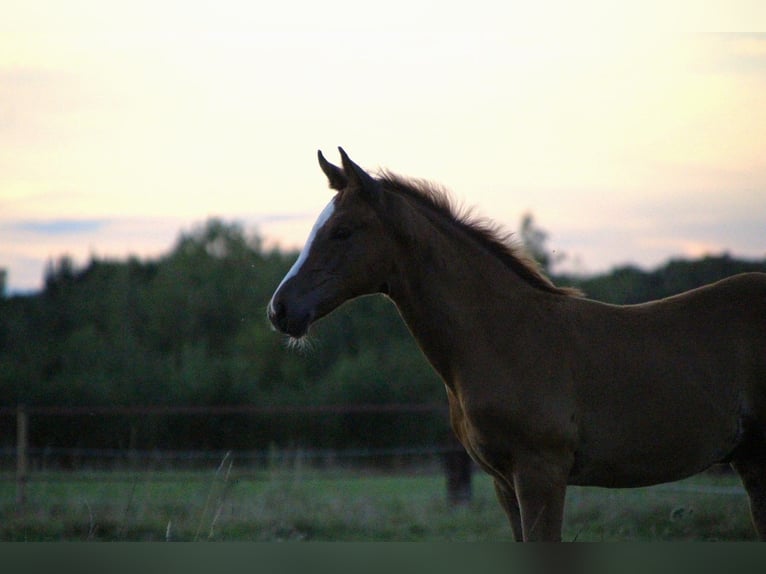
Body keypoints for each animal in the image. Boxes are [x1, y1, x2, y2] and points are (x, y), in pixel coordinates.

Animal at [268, 148, 766, 544]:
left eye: (343, 231)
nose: (279, 309)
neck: (504, 337)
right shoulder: (504, 483)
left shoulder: (540, 473)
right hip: (751, 459)